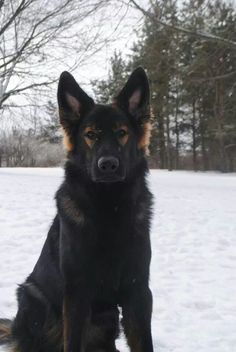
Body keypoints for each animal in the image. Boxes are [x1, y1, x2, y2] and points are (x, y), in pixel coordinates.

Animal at [0, 66, 154, 352]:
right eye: (90, 134)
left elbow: (144, 342)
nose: (108, 165)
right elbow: (72, 341)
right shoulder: (77, 293)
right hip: (33, 297)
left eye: (122, 132)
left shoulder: (138, 291)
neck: (109, 206)